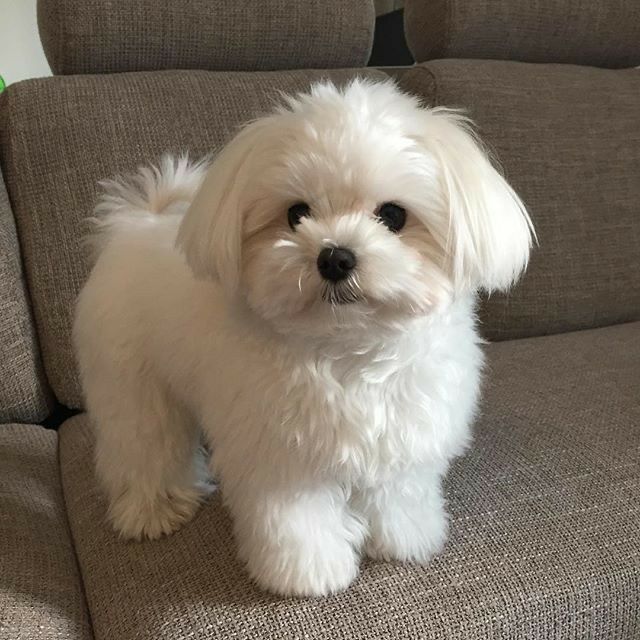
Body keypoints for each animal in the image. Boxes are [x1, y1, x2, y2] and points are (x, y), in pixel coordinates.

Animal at [74, 79, 536, 596]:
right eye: (297, 214)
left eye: (393, 215)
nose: (335, 257)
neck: (348, 348)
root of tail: (137, 224)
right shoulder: (279, 458)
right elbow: (297, 521)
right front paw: (309, 574)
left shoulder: (402, 434)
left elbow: (397, 493)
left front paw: (403, 539)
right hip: (134, 387)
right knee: (145, 447)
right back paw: (153, 509)